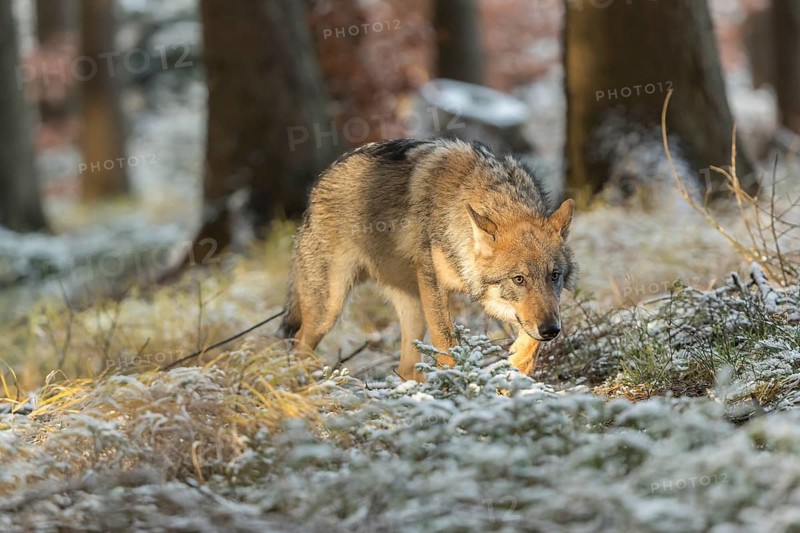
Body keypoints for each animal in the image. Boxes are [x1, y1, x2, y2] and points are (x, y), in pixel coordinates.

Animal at [280, 138, 577, 381]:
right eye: (519, 279)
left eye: (554, 276)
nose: (551, 330)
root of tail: (317, 187)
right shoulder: (434, 282)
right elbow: (446, 345)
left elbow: (530, 343)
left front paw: (515, 369)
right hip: (328, 310)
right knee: (298, 345)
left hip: (412, 308)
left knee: (406, 368)